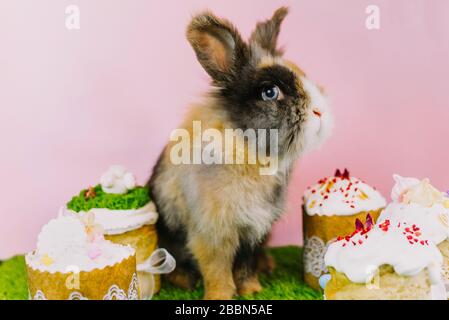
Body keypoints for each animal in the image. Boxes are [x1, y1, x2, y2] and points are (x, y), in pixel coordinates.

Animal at [148, 6, 332, 300]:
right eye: (270, 92)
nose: (320, 111)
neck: (250, 148)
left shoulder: (254, 230)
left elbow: (246, 263)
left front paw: (252, 291)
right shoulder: (212, 233)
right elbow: (217, 270)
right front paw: (220, 296)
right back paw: (184, 280)